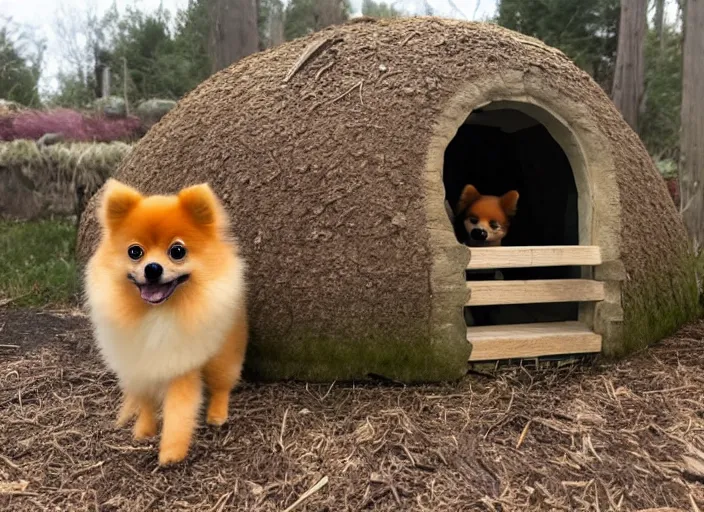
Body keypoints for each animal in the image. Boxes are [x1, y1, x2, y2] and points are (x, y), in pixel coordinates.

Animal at [85, 178, 248, 466]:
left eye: (177, 251)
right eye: (134, 252)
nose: (152, 268)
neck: (157, 313)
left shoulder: (181, 366)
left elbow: (178, 411)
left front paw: (172, 452)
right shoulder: (140, 365)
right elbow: (147, 402)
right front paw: (144, 430)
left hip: (222, 356)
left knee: (222, 385)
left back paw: (217, 414)